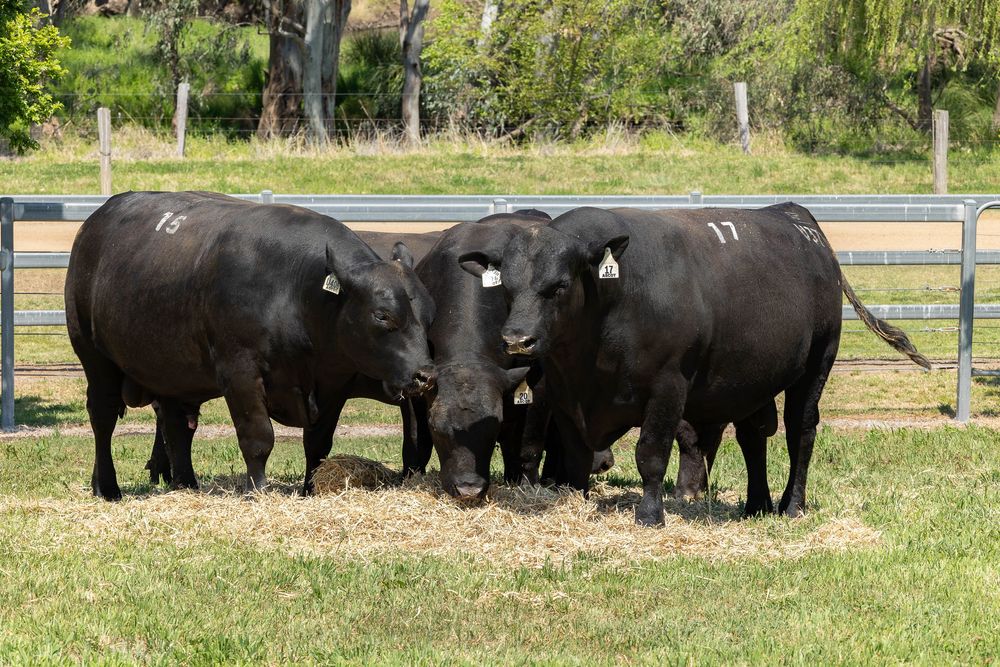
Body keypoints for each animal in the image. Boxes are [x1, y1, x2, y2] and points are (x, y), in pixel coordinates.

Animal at [66, 191, 436, 499]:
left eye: (428, 312)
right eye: (382, 315)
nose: (425, 375)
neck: (295, 293)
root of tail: (98, 219)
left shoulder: (333, 386)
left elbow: (317, 444)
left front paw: (310, 490)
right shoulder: (240, 371)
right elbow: (258, 437)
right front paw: (256, 491)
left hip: (172, 371)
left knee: (177, 426)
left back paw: (185, 484)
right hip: (95, 358)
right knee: (103, 418)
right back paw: (107, 488)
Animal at [458, 204, 930, 524]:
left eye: (558, 286)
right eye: (506, 287)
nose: (517, 340)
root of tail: (797, 218)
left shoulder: (668, 386)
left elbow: (651, 452)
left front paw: (650, 515)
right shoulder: (564, 394)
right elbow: (571, 456)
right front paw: (577, 501)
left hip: (817, 363)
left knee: (801, 431)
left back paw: (791, 505)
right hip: (750, 379)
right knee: (753, 435)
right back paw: (755, 504)